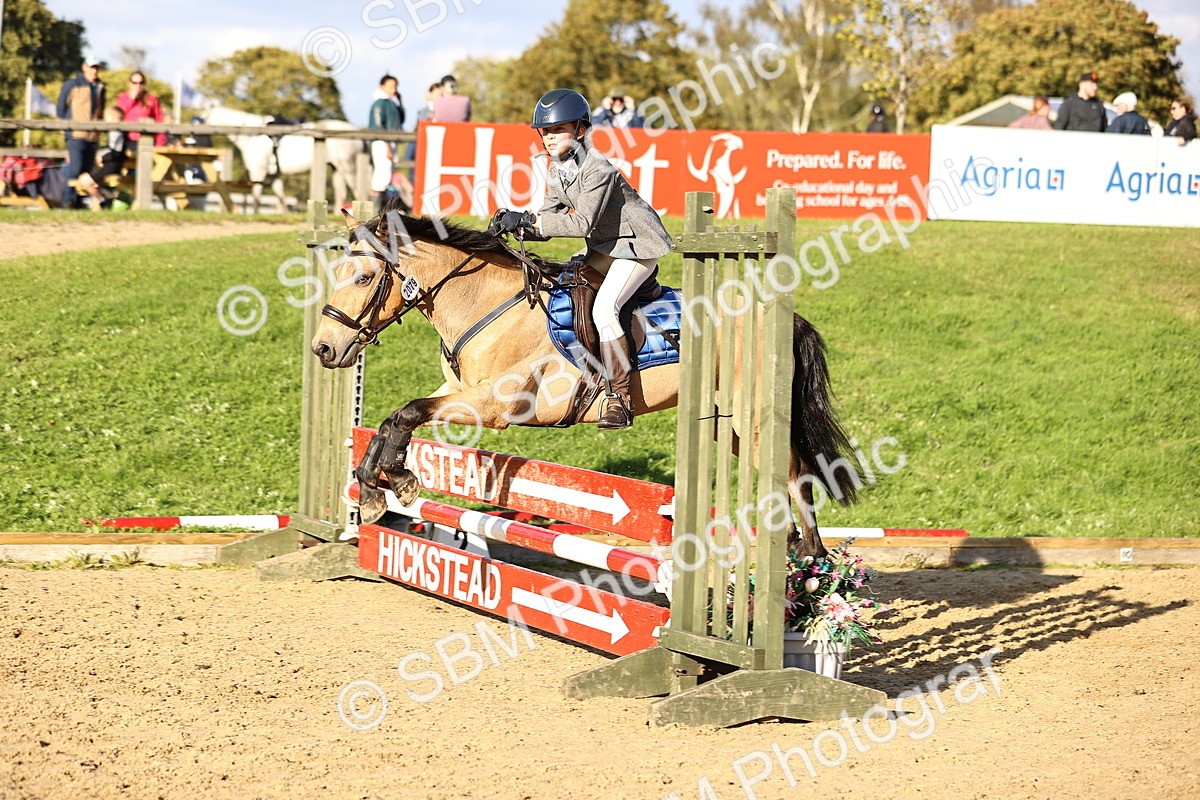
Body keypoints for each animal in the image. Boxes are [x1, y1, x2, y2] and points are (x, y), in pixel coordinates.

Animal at [201, 105, 361, 212]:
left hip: (348, 167)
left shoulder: (258, 172)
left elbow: (256, 197)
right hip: (337, 169)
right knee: (341, 193)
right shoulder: (273, 176)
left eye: (203, 118)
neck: (253, 135)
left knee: (357, 190)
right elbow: (281, 199)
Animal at [310, 205, 863, 559]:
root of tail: (782, 318)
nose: (323, 349)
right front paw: (375, 486)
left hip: (752, 419)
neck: (487, 303)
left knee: (796, 475)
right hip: (726, 427)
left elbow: (406, 413)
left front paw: (396, 480)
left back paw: (807, 560)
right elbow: (391, 421)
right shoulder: (456, 393)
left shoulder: (497, 406)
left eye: (363, 278)